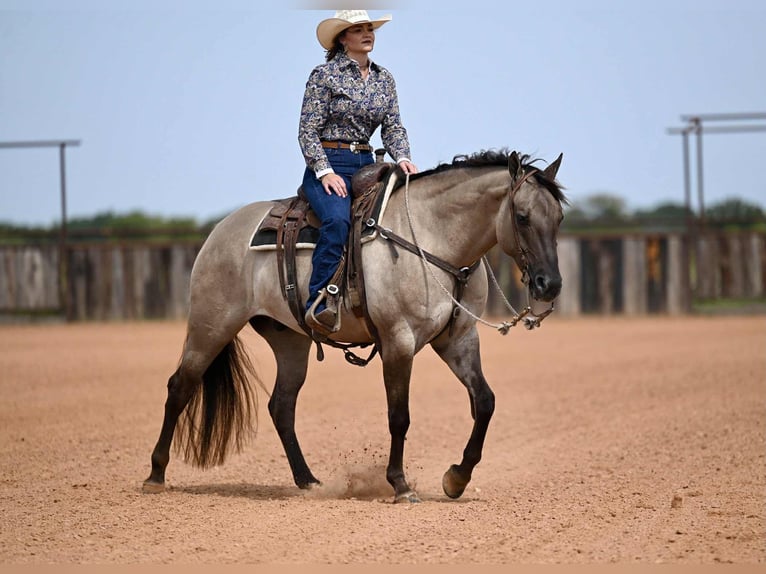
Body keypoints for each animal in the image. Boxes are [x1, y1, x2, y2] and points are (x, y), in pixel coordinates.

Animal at [143, 149, 567, 503]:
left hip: (289, 342)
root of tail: (221, 231)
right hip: (210, 326)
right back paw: (155, 475)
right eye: (522, 217)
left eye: (559, 218)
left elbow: (485, 402)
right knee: (179, 387)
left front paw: (456, 478)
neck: (431, 238)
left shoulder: (458, 340)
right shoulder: (398, 341)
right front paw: (400, 485)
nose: (550, 284)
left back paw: (308, 481)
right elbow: (399, 415)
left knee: (281, 406)